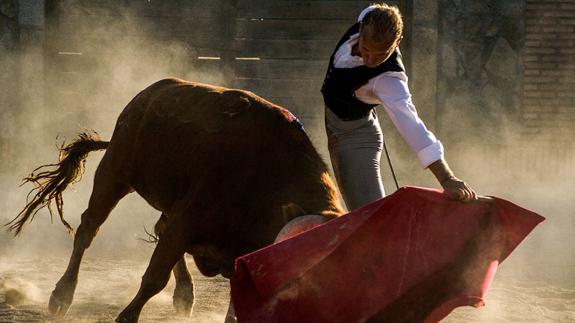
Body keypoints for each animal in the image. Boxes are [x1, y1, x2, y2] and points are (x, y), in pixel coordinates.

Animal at [9, 78, 344, 322]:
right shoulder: (189, 218)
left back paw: (184, 293)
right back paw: (62, 294)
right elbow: (154, 276)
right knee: (88, 229)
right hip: (114, 172)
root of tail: (145, 95)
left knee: (157, 227)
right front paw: (126, 317)